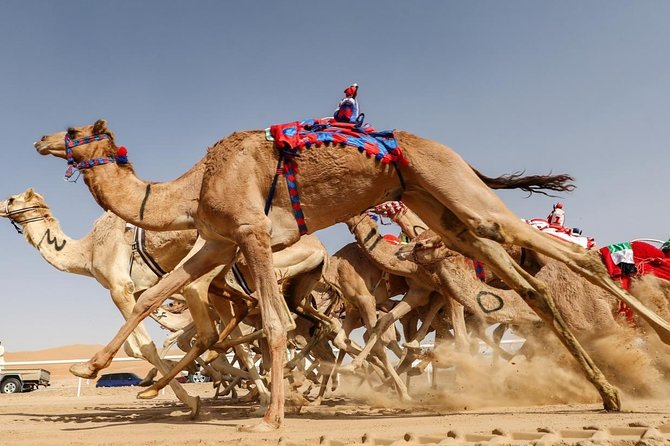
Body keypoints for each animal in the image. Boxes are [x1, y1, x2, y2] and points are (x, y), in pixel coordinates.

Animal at [34, 118, 670, 429]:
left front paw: (268, 420)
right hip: (444, 214)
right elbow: (152, 299)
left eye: (77, 133)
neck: (191, 187)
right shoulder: (216, 241)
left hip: (457, 192)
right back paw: (609, 394)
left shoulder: (251, 232)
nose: (40, 139)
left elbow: (274, 322)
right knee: (531, 285)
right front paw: (91, 366)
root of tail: (448, 151)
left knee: (571, 259)